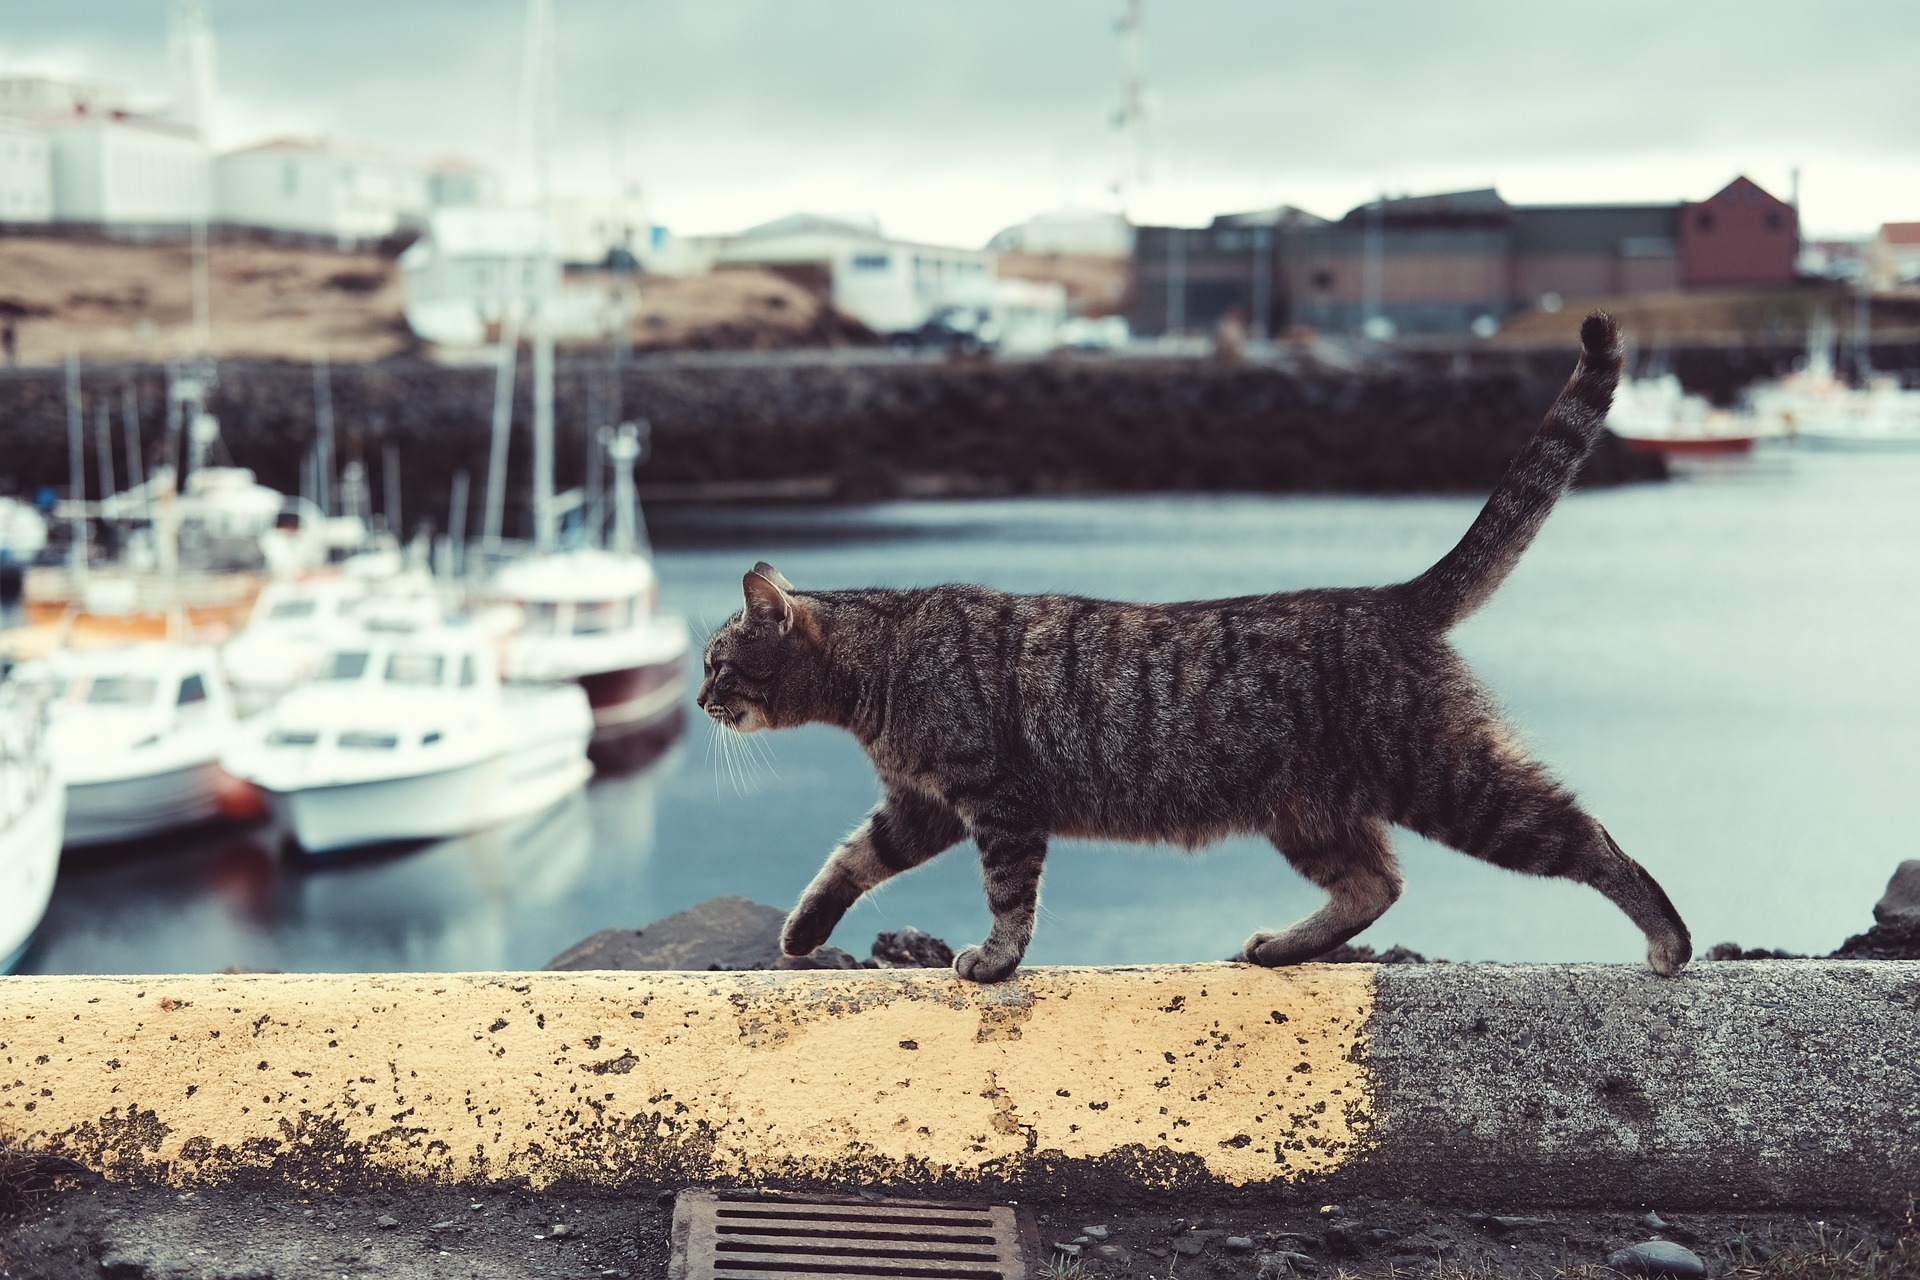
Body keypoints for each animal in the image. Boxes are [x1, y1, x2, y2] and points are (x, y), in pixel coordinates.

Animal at [698, 314, 1689, 990]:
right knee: (1376, 886)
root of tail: (1390, 597)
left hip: (1452, 781)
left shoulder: (997, 801)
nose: (701, 702)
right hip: (1311, 814)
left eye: (715, 662)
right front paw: (801, 933)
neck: (883, 661)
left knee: (1584, 836)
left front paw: (996, 960)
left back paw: (1668, 939)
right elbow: (847, 862)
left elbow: (1009, 896)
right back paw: (1282, 947)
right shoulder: (921, 807)